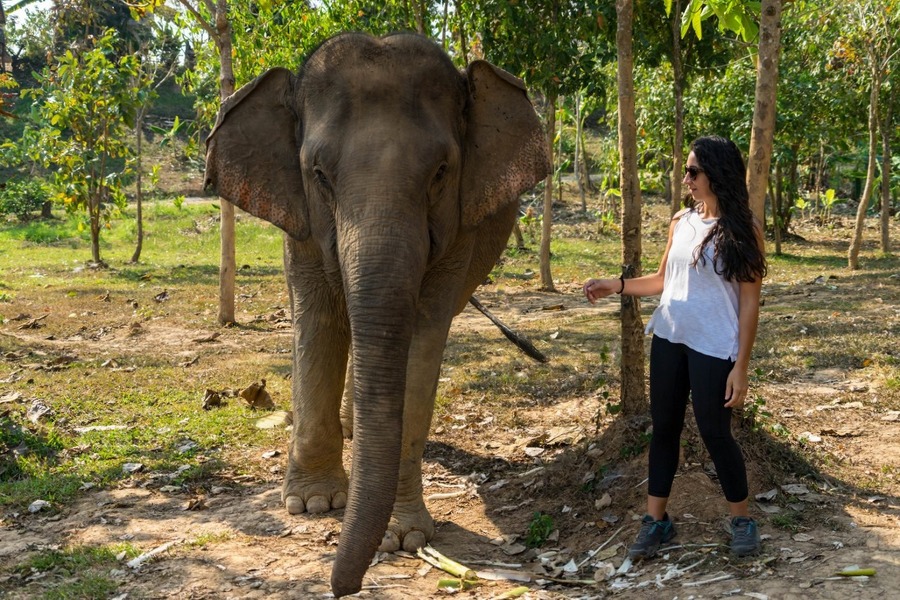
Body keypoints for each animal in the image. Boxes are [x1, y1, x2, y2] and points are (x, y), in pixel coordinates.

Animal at [204, 32, 550, 598]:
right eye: (319, 174)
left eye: (441, 172)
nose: (341, 587)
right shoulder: (300, 222)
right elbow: (319, 319)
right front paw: (312, 504)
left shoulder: (459, 231)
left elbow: (421, 335)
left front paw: (403, 537)